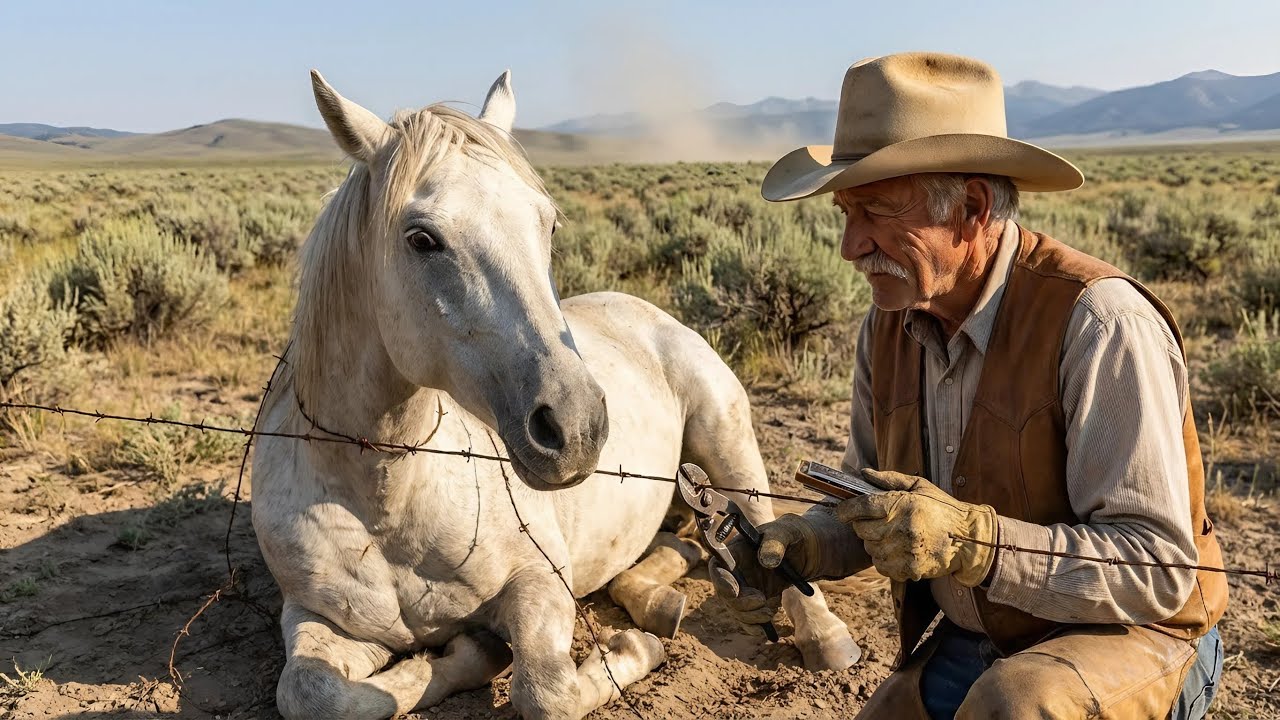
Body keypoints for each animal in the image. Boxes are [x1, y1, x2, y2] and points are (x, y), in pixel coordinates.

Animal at [249, 69, 860, 720]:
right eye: (421, 239)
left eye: (547, 223)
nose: (577, 428)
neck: (386, 498)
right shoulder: (315, 616)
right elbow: (311, 692)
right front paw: (466, 654)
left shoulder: (539, 582)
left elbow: (546, 690)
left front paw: (630, 653)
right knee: (676, 546)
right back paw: (659, 598)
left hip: (726, 439)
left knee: (765, 527)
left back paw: (820, 636)